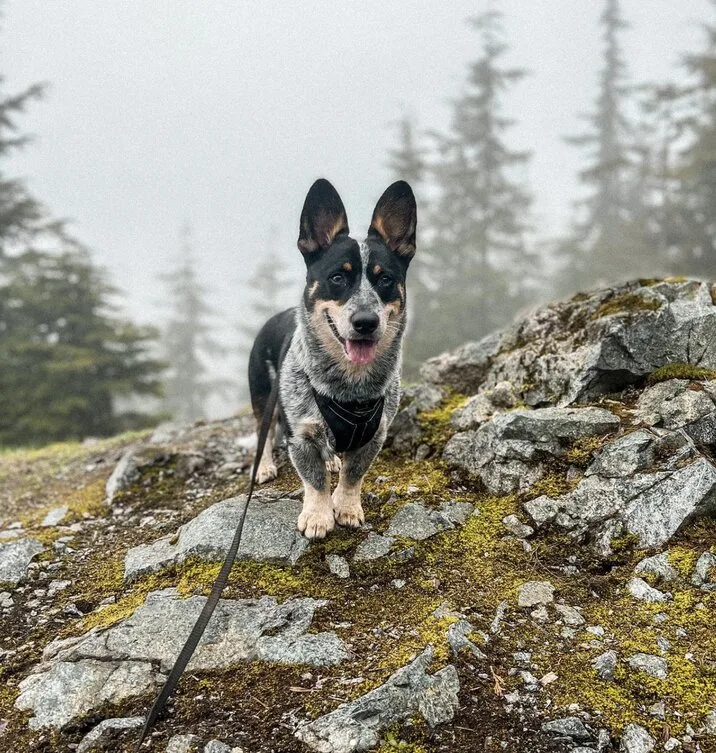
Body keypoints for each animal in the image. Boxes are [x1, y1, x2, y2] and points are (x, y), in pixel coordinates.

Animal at [249, 178, 416, 536]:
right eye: (338, 277)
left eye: (385, 279)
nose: (366, 322)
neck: (349, 388)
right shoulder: (300, 434)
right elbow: (314, 481)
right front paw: (318, 515)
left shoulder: (375, 435)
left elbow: (354, 475)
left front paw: (347, 507)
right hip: (263, 398)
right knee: (263, 435)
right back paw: (265, 466)